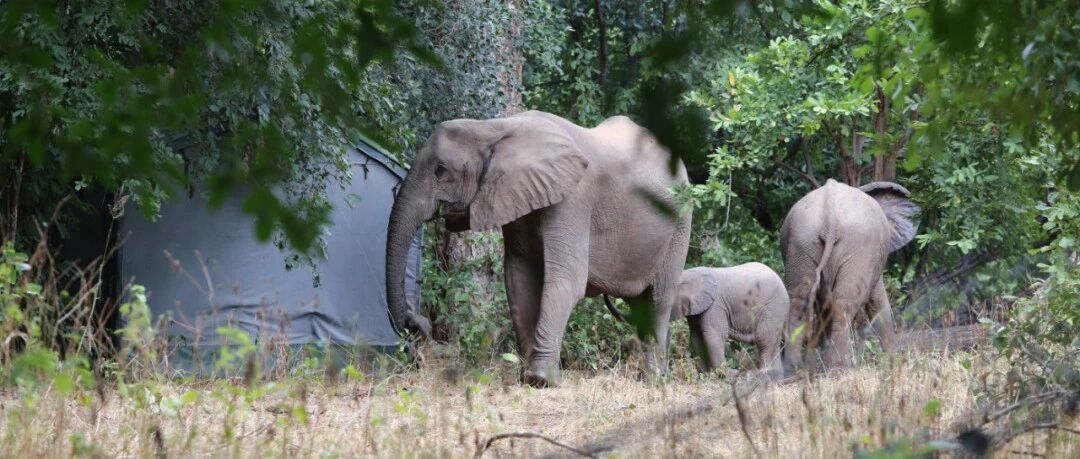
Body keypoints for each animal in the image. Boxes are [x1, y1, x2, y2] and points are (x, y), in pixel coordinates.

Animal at [385, 110, 692, 387]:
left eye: (441, 170)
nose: (417, 324)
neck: (494, 127)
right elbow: (518, 279)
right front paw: (526, 377)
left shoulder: (573, 199)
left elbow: (566, 280)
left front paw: (541, 380)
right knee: (640, 305)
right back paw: (651, 377)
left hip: (680, 223)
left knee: (659, 299)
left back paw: (654, 381)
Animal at [780, 178, 919, 372]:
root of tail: (829, 216)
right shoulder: (871, 258)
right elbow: (878, 303)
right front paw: (893, 363)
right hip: (858, 246)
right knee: (844, 303)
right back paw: (840, 368)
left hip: (801, 242)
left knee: (799, 300)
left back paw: (793, 369)